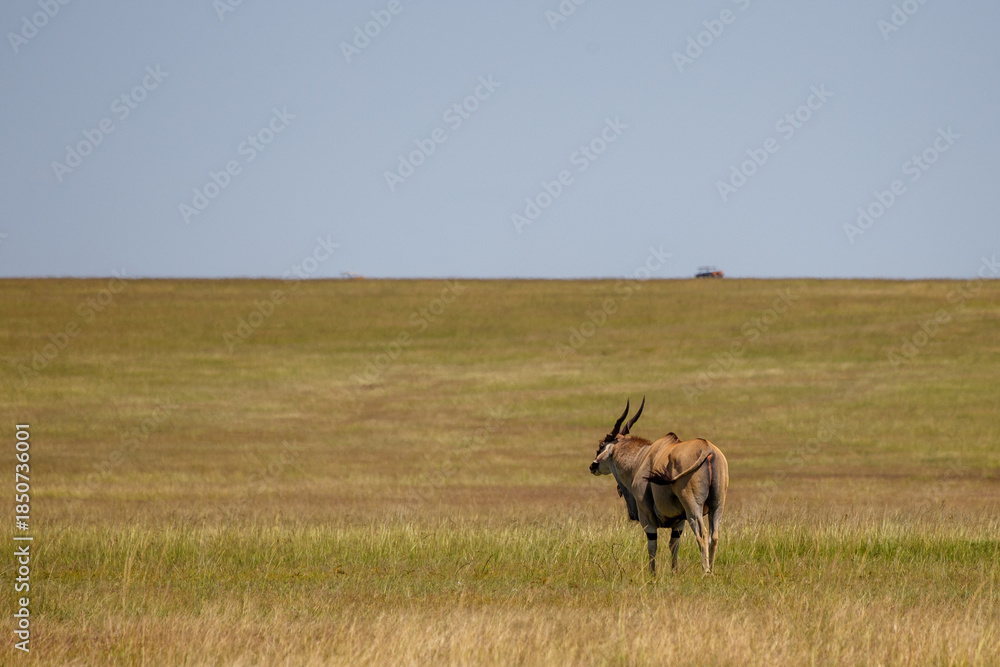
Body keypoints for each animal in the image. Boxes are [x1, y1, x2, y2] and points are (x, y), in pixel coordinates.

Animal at [589, 398, 729, 574]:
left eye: (601, 445)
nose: (592, 466)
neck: (641, 458)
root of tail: (707, 448)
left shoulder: (646, 517)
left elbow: (652, 545)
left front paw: (652, 574)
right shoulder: (678, 522)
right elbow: (674, 545)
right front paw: (674, 572)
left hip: (692, 506)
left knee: (702, 534)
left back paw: (706, 572)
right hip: (717, 505)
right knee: (714, 536)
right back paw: (712, 569)